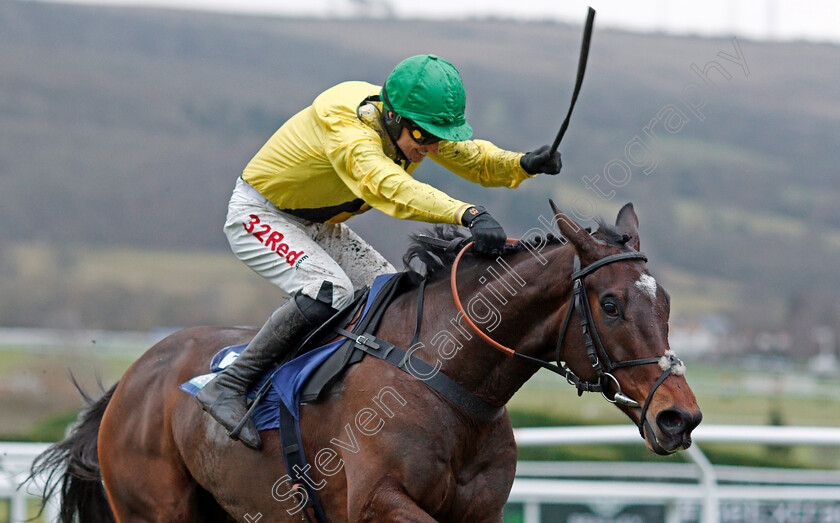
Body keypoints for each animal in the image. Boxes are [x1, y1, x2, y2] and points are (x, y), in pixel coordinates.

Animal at [31, 203, 704, 520]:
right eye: (610, 304)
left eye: (667, 302)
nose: (680, 418)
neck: (448, 380)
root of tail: (131, 379)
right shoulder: (376, 502)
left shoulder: (481, 512)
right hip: (154, 507)